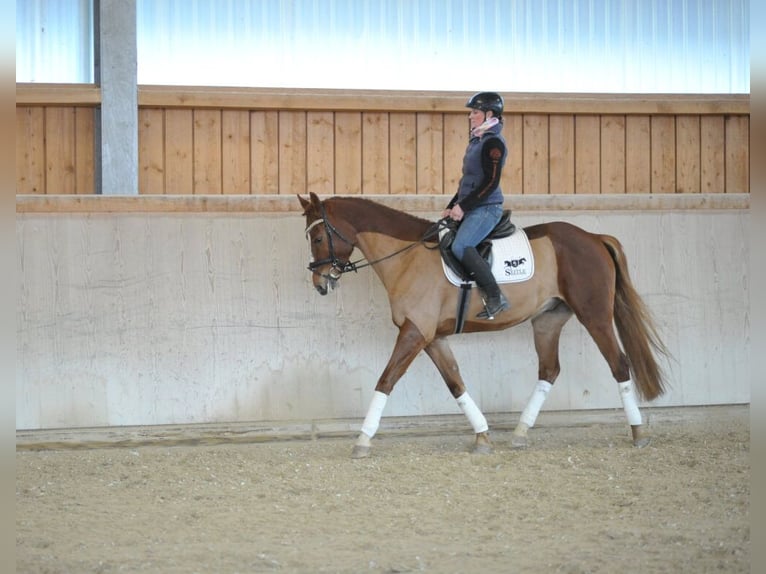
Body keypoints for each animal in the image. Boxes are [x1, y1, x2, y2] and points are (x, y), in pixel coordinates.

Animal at [296, 192, 668, 460]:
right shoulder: (432, 338)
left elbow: (386, 380)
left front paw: (362, 440)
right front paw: (482, 436)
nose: (319, 283)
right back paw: (520, 433)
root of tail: (593, 236)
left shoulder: (414, 332)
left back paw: (638, 433)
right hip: (548, 320)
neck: (407, 257)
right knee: (549, 370)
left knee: (619, 364)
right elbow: (455, 383)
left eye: (318, 237)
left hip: (595, 316)